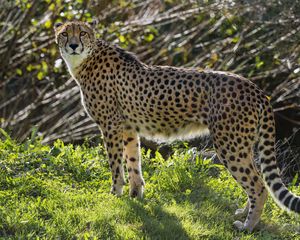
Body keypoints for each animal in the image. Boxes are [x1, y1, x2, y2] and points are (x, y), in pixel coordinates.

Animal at [54, 21, 300, 232]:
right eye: (65, 33)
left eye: (82, 33)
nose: (73, 45)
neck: (87, 58)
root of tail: (254, 87)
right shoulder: (128, 128)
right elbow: (134, 162)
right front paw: (136, 195)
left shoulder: (111, 126)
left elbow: (116, 165)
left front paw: (115, 194)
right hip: (241, 144)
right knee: (257, 178)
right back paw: (243, 213)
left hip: (230, 145)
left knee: (258, 186)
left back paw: (248, 226)